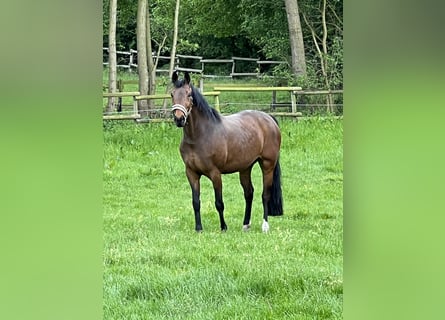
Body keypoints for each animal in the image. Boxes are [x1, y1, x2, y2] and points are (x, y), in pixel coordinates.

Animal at [170, 71, 280, 232]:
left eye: (189, 94)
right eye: (172, 94)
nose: (179, 119)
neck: (199, 136)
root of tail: (269, 118)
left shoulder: (215, 174)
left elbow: (219, 202)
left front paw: (223, 227)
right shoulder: (191, 173)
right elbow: (196, 202)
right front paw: (199, 228)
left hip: (267, 165)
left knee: (265, 194)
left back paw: (265, 225)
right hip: (245, 168)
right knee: (249, 193)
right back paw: (245, 224)